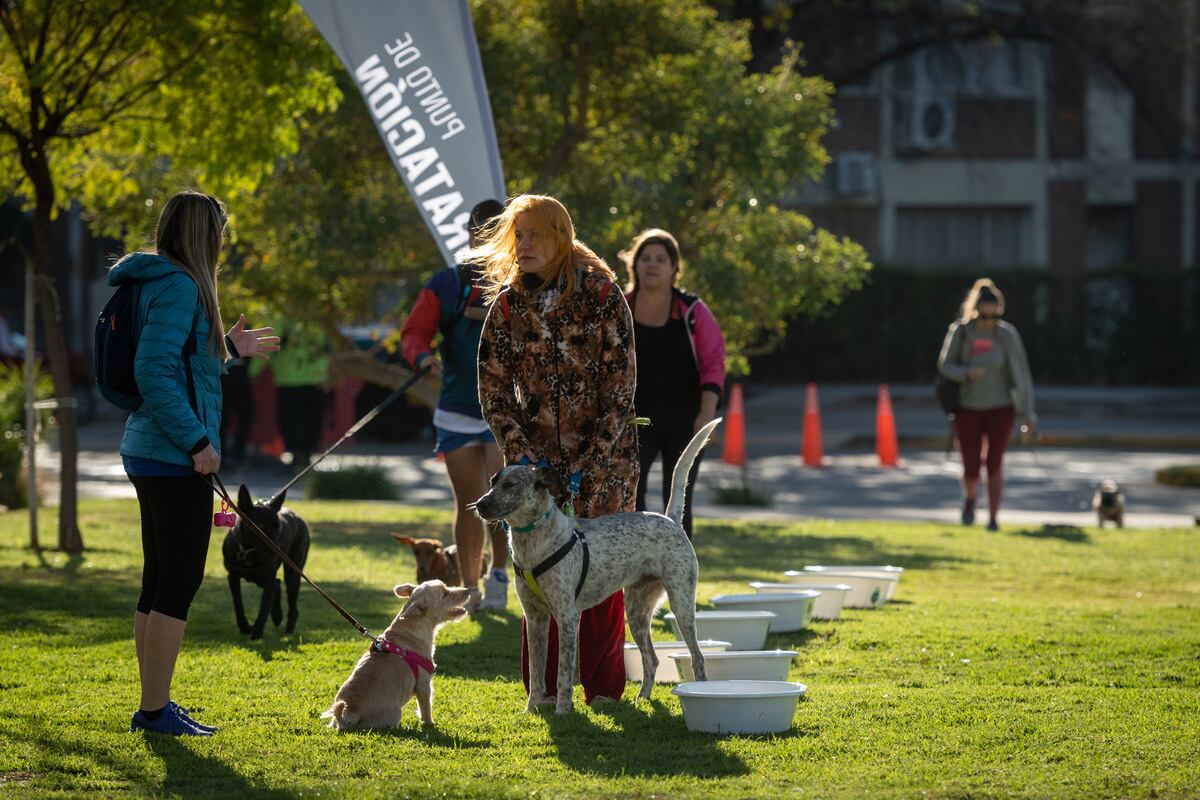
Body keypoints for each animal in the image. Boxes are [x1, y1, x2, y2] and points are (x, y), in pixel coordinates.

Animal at [222, 484, 309, 642]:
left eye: (278, 526)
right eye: (261, 526)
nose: (279, 551)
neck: (249, 551)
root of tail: (299, 517)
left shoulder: (268, 582)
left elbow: (263, 609)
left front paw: (256, 633)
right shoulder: (232, 577)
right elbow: (238, 603)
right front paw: (244, 627)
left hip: (293, 573)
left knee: (291, 604)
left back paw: (287, 629)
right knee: (278, 582)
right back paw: (277, 616)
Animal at [321, 582, 470, 734]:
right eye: (445, 594)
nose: (468, 590)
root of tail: (349, 714)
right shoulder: (423, 684)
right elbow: (425, 708)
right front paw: (429, 725)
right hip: (395, 714)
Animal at [470, 417, 715, 714]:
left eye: (511, 485)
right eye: (493, 482)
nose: (480, 504)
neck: (533, 544)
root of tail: (671, 519)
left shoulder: (567, 617)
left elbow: (563, 674)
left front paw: (562, 711)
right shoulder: (535, 617)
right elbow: (536, 672)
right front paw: (532, 710)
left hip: (681, 606)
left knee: (697, 658)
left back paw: (701, 693)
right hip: (637, 612)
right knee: (652, 659)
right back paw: (641, 699)